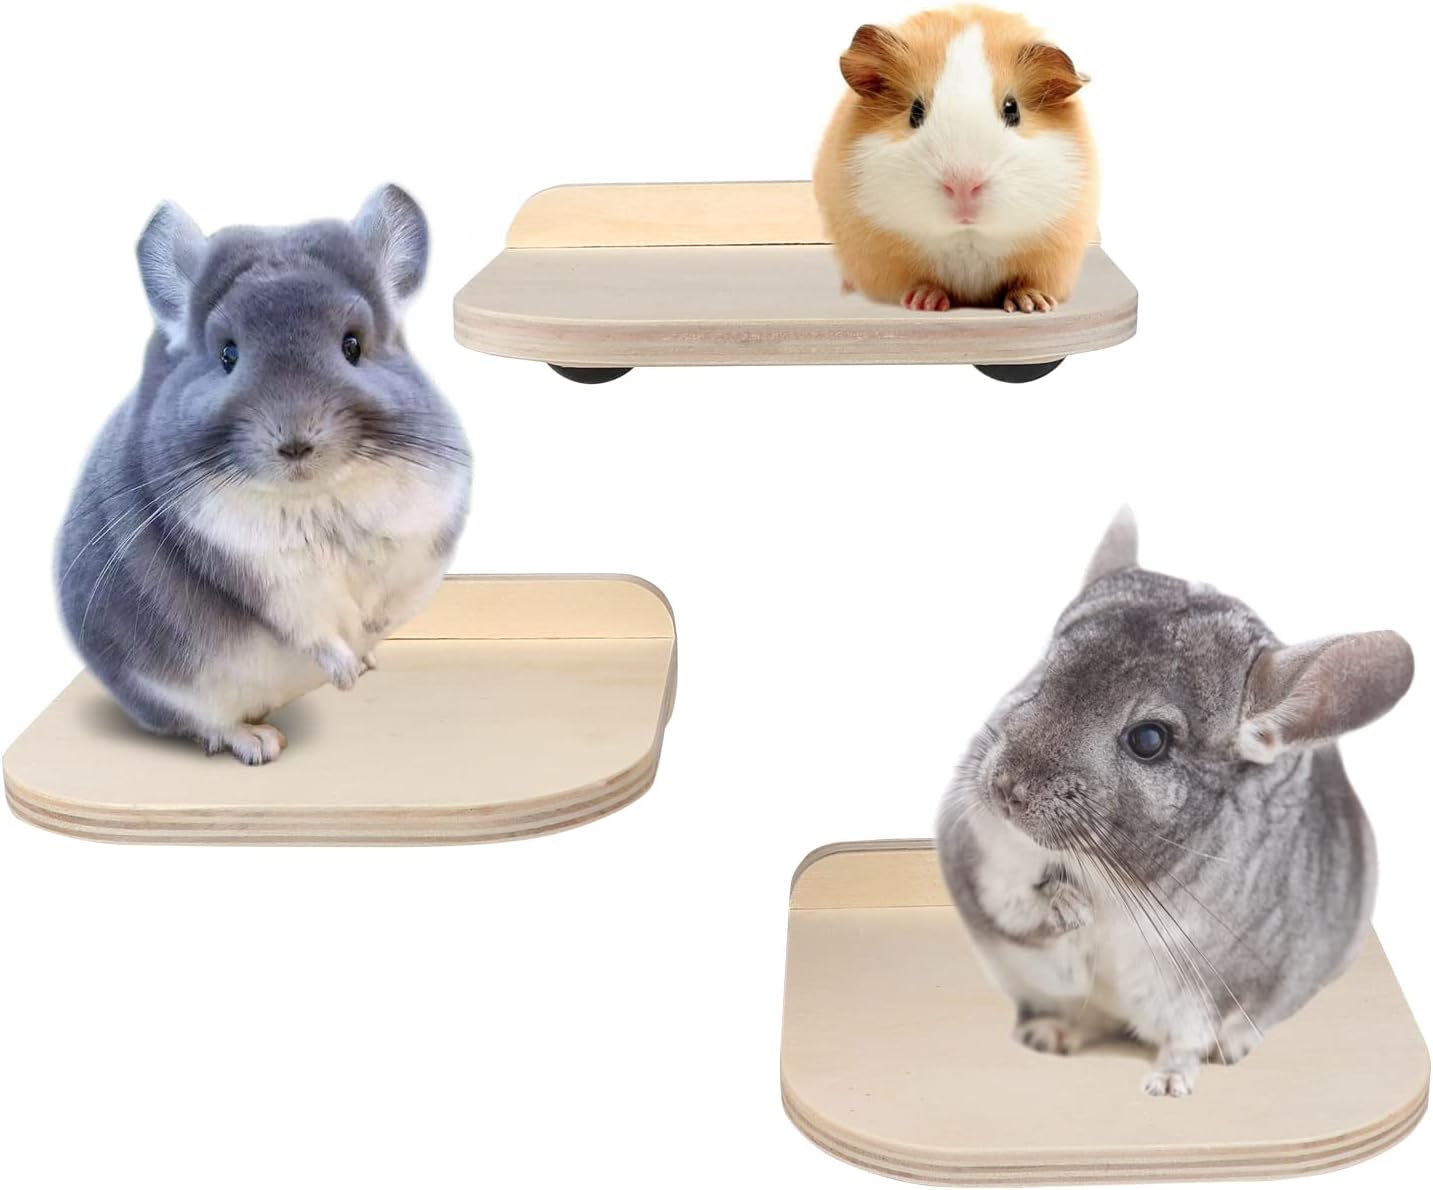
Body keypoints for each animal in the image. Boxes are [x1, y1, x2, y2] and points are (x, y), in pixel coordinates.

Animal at [56, 185, 472, 764]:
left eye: (353, 346)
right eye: (228, 355)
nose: (295, 443)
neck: (317, 498)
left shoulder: (421, 541)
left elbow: (391, 605)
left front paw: (368, 644)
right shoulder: (261, 572)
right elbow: (311, 626)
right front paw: (344, 672)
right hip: (173, 690)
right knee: (208, 726)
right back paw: (260, 742)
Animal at [814, 6, 1097, 312]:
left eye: (1013, 109)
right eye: (915, 112)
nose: (963, 186)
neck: (967, 236)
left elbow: (1026, 281)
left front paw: (1033, 305)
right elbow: (919, 282)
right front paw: (924, 302)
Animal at [937, 509, 1413, 1096]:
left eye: (1149, 740)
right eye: (1043, 674)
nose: (1006, 788)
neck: (1111, 875)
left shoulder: (1215, 985)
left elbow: (1188, 1037)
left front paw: (1168, 1085)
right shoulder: (980, 852)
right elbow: (1012, 902)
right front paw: (1066, 908)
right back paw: (1050, 1033)